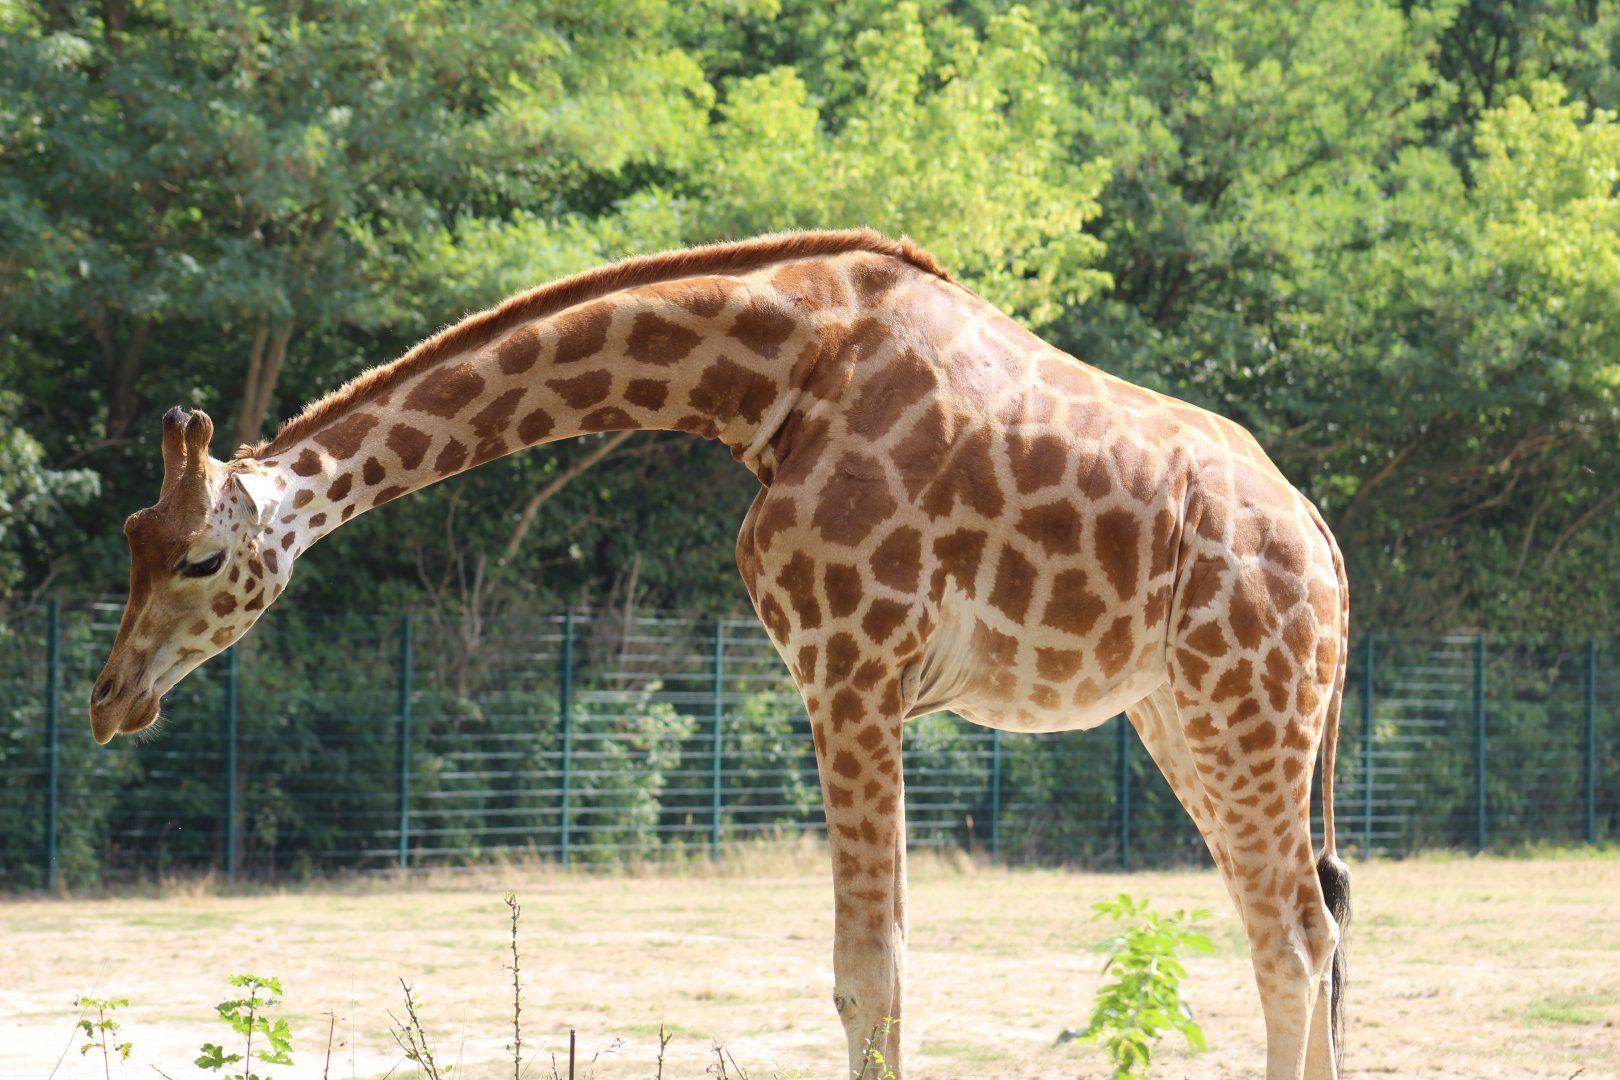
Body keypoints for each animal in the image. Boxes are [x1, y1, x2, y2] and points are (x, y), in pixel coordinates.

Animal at [90, 228, 1351, 1080]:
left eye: (200, 557)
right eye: (133, 538)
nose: (109, 701)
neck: (773, 375)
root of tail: (1323, 543)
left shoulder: (852, 664)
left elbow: (869, 973)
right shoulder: (851, 676)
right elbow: (872, 968)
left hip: (1247, 704)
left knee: (1296, 931)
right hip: (1183, 715)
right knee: (1293, 922)